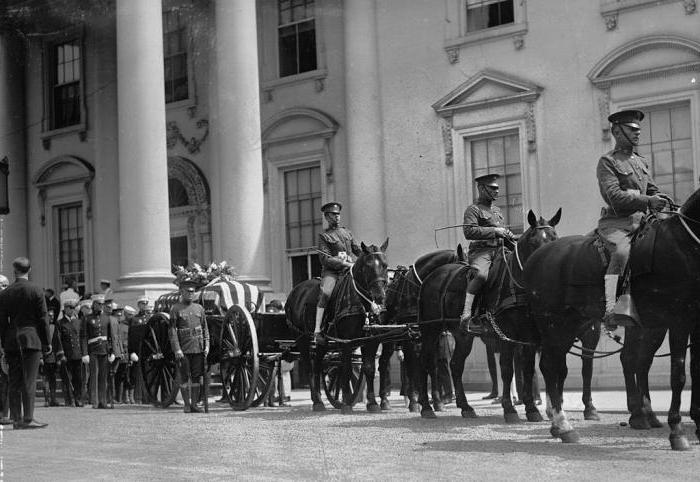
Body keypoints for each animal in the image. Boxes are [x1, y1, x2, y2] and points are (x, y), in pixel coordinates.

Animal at [286, 239, 394, 412]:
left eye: (385, 265)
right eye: (368, 266)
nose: (379, 296)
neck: (360, 301)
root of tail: (296, 291)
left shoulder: (371, 340)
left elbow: (368, 368)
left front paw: (372, 402)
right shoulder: (347, 342)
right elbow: (346, 369)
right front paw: (346, 402)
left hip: (322, 344)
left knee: (317, 366)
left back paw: (319, 401)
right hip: (302, 339)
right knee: (310, 367)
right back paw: (317, 401)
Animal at [380, 245, 468, 410]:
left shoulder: (434, 334)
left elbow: (431, 365)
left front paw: (437, 401)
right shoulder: (411, 335)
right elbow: (413, 366)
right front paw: (415, 401)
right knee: (383, 362)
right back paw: (383, 400)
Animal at [416, 208, 564, 418]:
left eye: (554, 238)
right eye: (534, 242)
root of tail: (432, 276)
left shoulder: (528, 336)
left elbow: (527, 369)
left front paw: (531, 408)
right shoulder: (506, 334)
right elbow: (507, 369)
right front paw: (509, 408)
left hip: (463, 335)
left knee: (455, 365)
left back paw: (465, 406)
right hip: (431, 330)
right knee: (425, 361)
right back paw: (427, 407)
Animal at [524, 186, 700, 450]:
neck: (684, 246)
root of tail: (537, 257)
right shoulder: (680, 320)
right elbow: (678, 375)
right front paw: (677, 431)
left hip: (571, 325)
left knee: (556, 367)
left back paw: (559, 426)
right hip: (554, 323)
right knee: (550, 366)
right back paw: (564, 426)